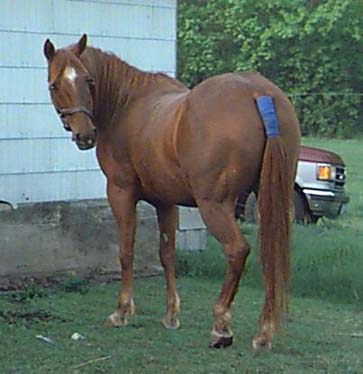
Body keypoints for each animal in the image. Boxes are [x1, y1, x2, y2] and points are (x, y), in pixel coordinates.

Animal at [43, 35, 302, 350]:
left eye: (88, 80)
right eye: (55, 85)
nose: (84, 134)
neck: (125, 104)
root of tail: (259, 92)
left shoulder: (120, 192)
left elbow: (126, 251)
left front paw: (121, 311)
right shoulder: (165, 202)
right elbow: (167, 254)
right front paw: (171, 316)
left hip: (214, 205)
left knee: (237, 250)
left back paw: (221, 326)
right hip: (268, 203)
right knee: (269, 255)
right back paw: (263, 333)